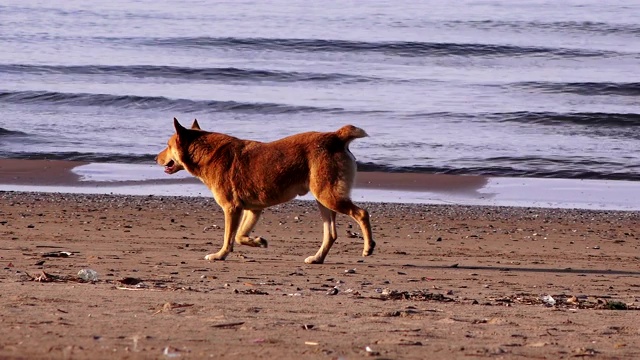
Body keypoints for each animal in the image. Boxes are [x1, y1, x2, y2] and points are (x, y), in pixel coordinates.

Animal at [156, 119, 376, 262]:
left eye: (167, 145)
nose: (155, 158)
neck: (206, 153)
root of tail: (335, 136)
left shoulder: (231, 208)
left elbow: (229, 237)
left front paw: (221, 255)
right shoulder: (252, 209)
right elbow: (239, 236)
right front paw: (257, 241)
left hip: (329, 196)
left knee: (361, 213)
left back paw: (368, 246)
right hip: (323, 200)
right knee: (331, 234)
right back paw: (317, 258)